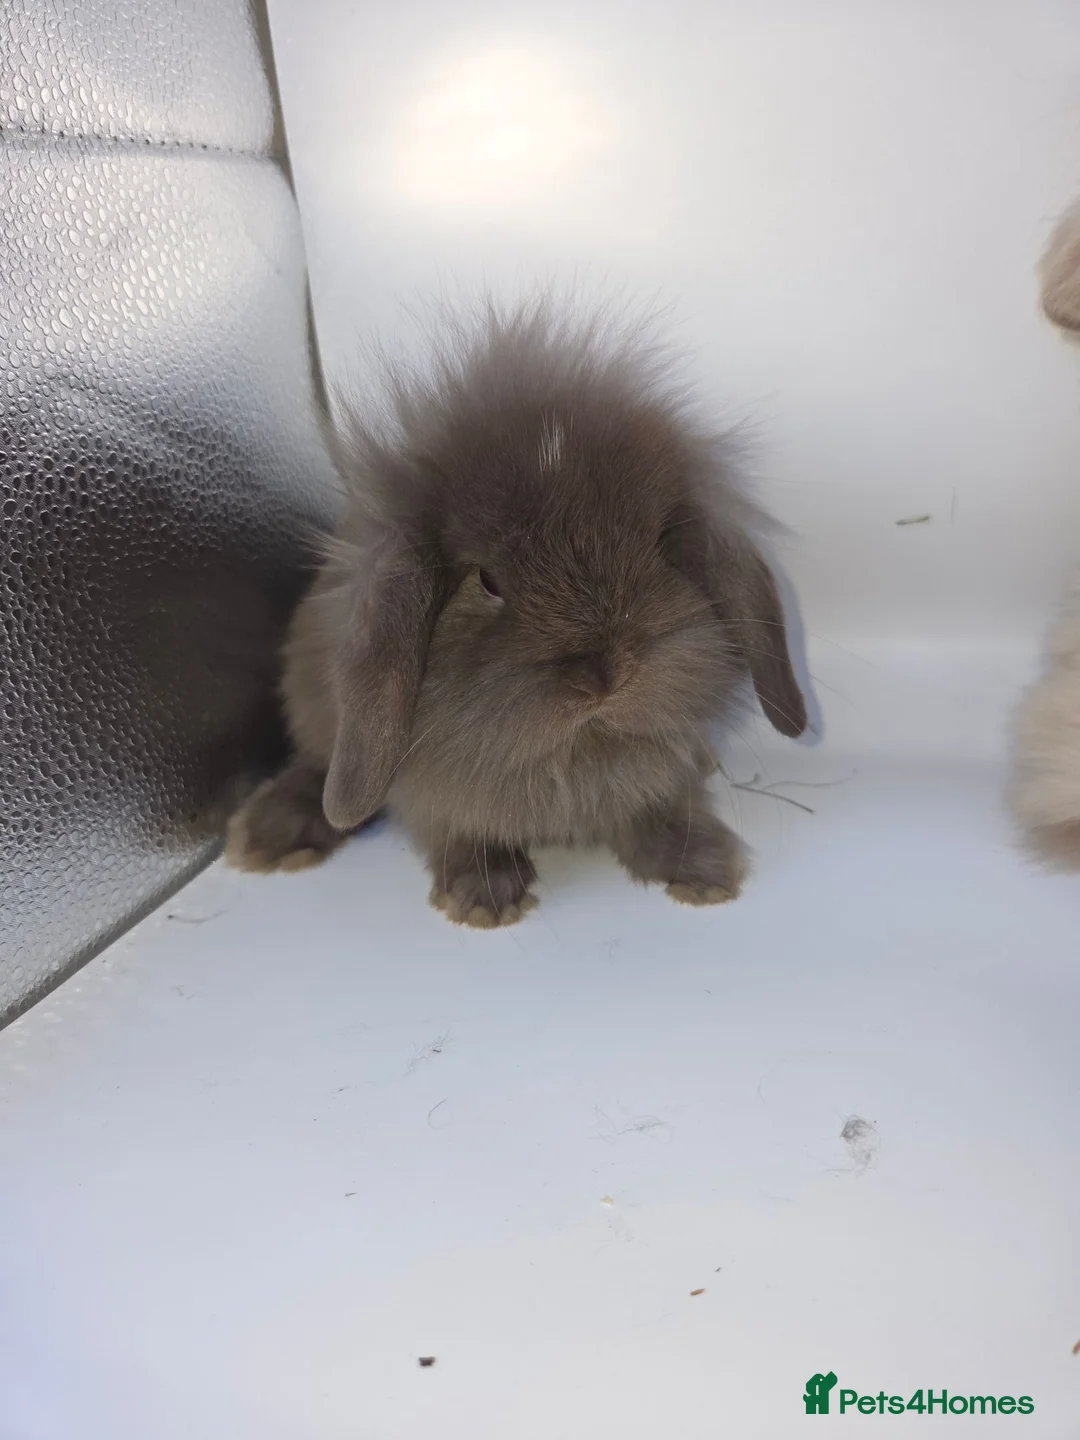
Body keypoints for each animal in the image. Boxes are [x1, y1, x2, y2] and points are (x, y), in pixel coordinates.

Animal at [226, 299, 808, 926]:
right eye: (486, 581)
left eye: (659, 545)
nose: (605, 676)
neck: (577, 753)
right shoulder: (433, 798)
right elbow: (460, 833)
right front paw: (484, 898)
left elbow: (664, 813)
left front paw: (704, 872)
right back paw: (272, 836)